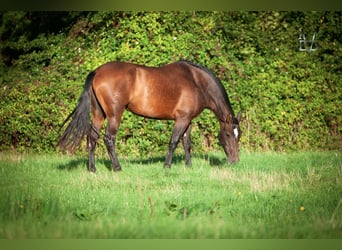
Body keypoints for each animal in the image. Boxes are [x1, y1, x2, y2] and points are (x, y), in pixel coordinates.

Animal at [57, 60, 242, 172]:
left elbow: (186, 143)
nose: (235, 161)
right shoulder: (181, 119)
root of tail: (97, 71)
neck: (196, 81)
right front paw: (167, 166)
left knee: (92, 138)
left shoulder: (188, 120)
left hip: (98, 115)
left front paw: (188, 165)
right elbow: (174, 142)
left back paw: (92, 169)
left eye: (238, 136)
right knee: (109, 139)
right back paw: (117, 167)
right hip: (114, 115)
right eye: (227, 135)